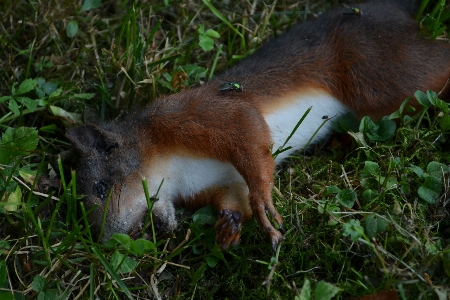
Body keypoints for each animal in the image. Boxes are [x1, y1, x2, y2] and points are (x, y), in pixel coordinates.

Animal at [66, 0, 450, 251]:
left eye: (101, 187)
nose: (108, 243)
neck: (172, 170)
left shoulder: (191, 114)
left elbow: (248, 134)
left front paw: (265, 203)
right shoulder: (217, 183)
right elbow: (235, 197)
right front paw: (228, 228)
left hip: (380, 73)